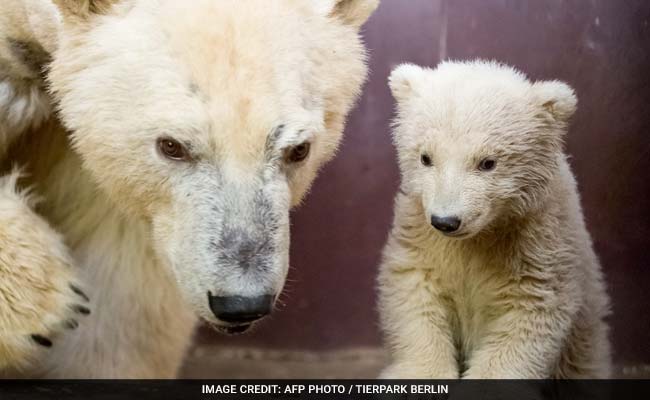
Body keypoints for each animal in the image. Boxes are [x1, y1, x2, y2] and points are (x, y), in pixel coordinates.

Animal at [377, 60, 611, 379]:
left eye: (488, 162)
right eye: (426, 157)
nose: (446, 221)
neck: (485, 234)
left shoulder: (538, 245)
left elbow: (526, 318)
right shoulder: (421, 236)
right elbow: (415, 293)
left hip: (583, 347)